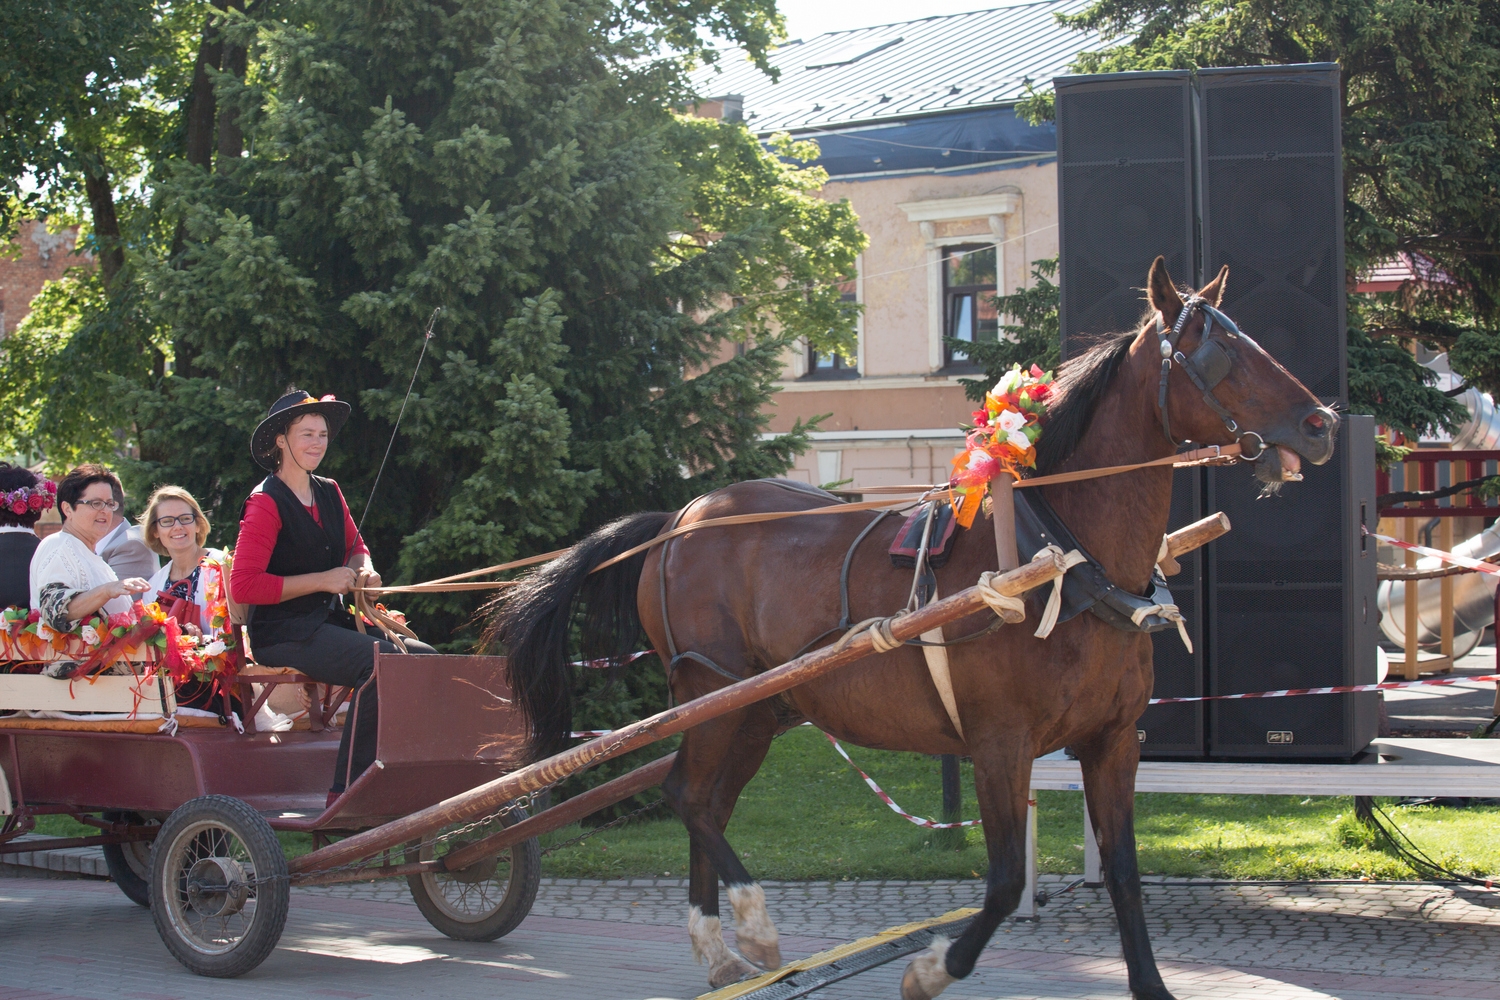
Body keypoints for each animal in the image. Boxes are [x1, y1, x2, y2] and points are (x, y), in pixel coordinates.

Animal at [489, 260, 1338, 1000]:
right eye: (1217, 350)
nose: (1321, 422)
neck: (1063, 556)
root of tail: (680, 518)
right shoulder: (1000, 742)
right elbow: (1003, 881)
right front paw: (930, 968)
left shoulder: (1112, 740)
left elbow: (1126, 875)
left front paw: (1152, 984)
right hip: (712, 693)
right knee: (686, 796)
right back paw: (752, 926)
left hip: (758, 709)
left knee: (706, 800)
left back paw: (721, 952)